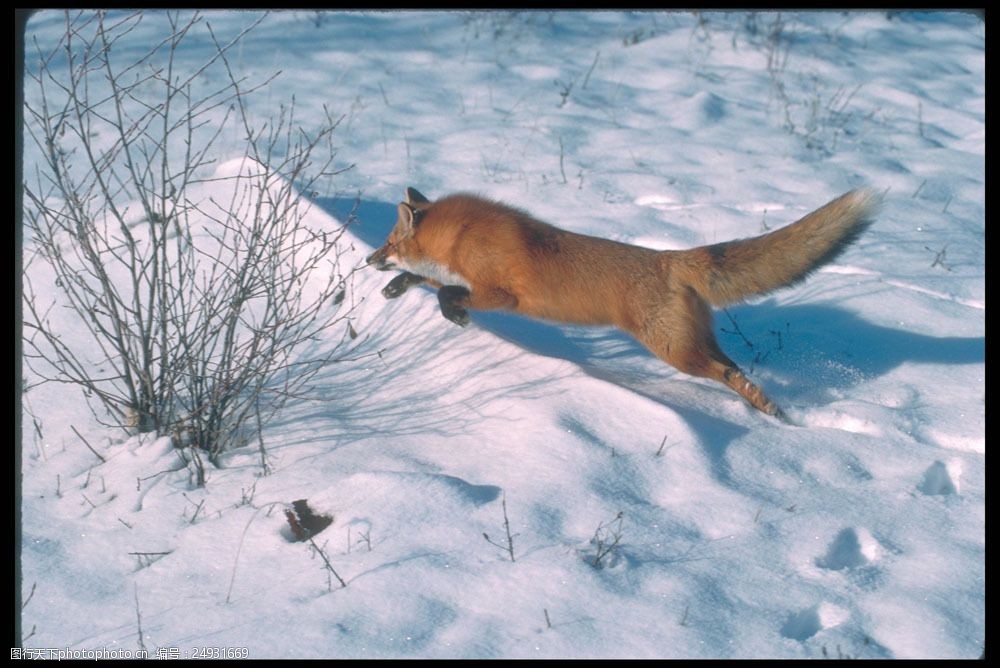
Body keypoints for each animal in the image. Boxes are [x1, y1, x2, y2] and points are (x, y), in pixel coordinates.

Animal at [368, 187, 884, 418]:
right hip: (694, 342)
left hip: (675, 352)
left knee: (728, 373)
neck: (461, 237)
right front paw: (397, 288)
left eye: (389, 241)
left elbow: (446, 291)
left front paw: (453, 314)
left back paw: (768, 410)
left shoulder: (500, 293)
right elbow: (428, 279)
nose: (370, 259)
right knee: (735, 365)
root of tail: (670, 258)